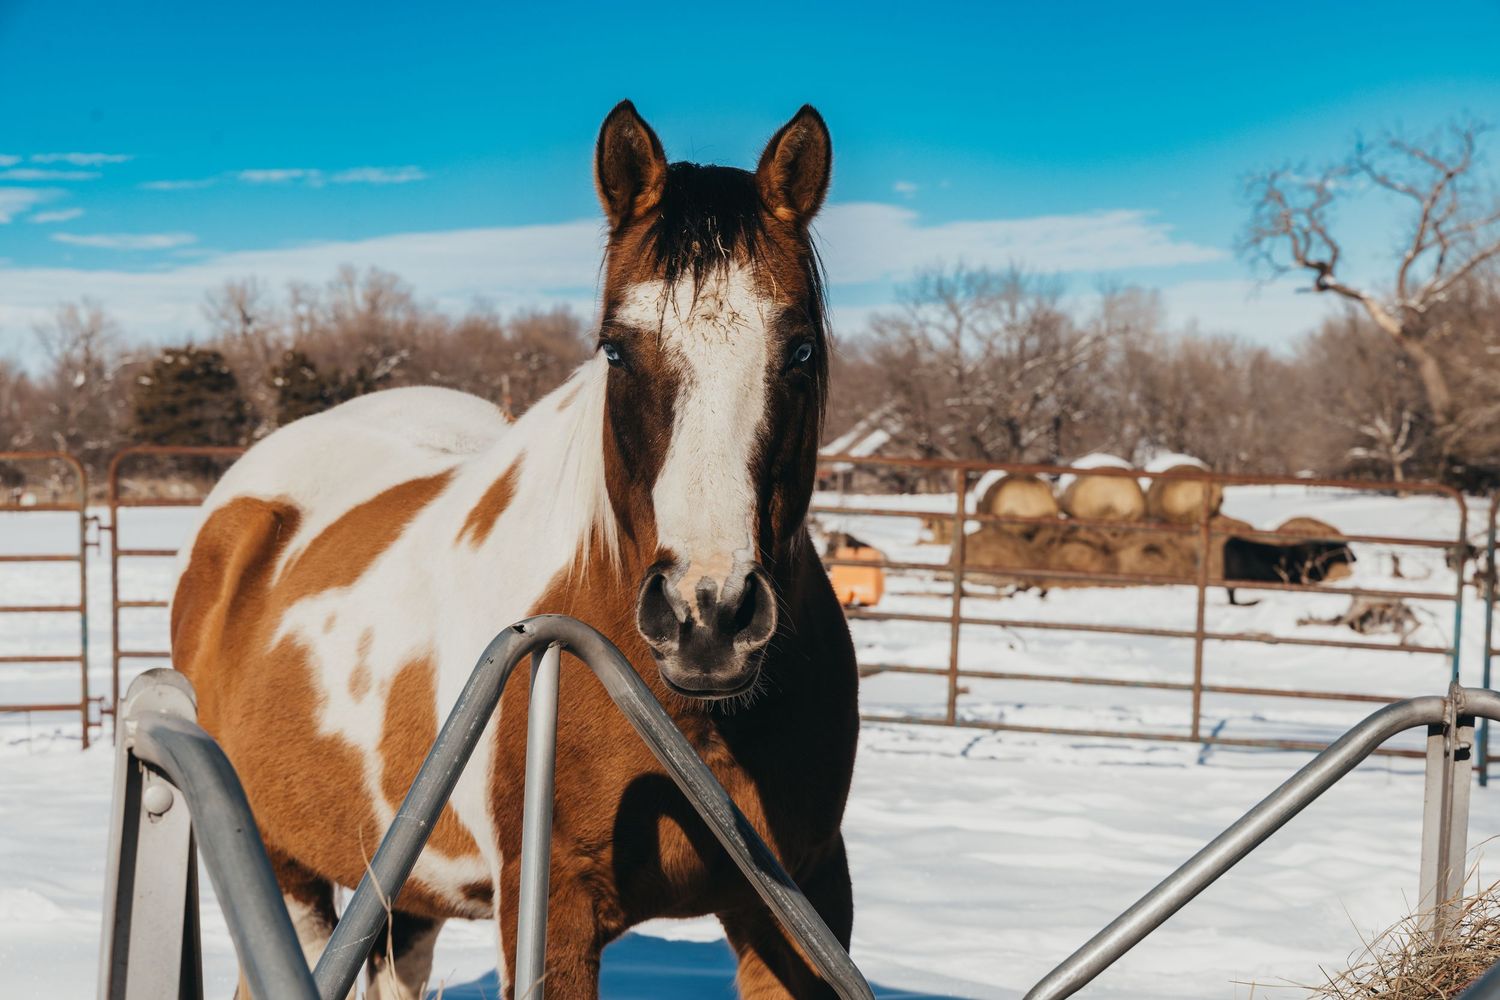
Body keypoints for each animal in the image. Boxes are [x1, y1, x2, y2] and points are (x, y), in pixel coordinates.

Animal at [170, 100, 858, 999]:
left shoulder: (801, 905)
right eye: (615, 348)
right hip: (286, 869)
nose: (708, 616)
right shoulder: (550, 907)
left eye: (801, 348)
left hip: (402, 888)